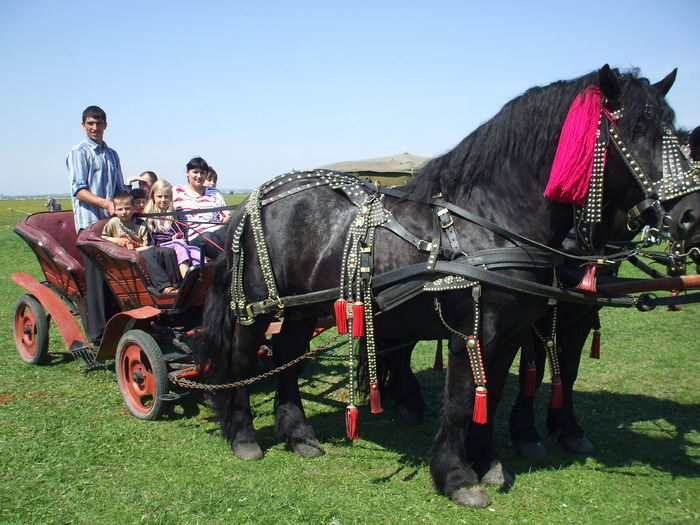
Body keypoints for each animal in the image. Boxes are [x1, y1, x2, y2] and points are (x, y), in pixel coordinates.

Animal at [200, 63, 680, 506]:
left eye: (672, 128)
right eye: (636, 128)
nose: (684, 211)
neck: (490, 222)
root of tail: (256, 196)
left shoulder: (510, 335)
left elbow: (493, 393)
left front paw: (489, 462)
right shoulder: (471, 332)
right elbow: (462, 401)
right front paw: (458, 477)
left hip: (302, 308)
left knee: (287, 357)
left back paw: (299, 434)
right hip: (256, 307)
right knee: (244, 360)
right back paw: (244, 436)